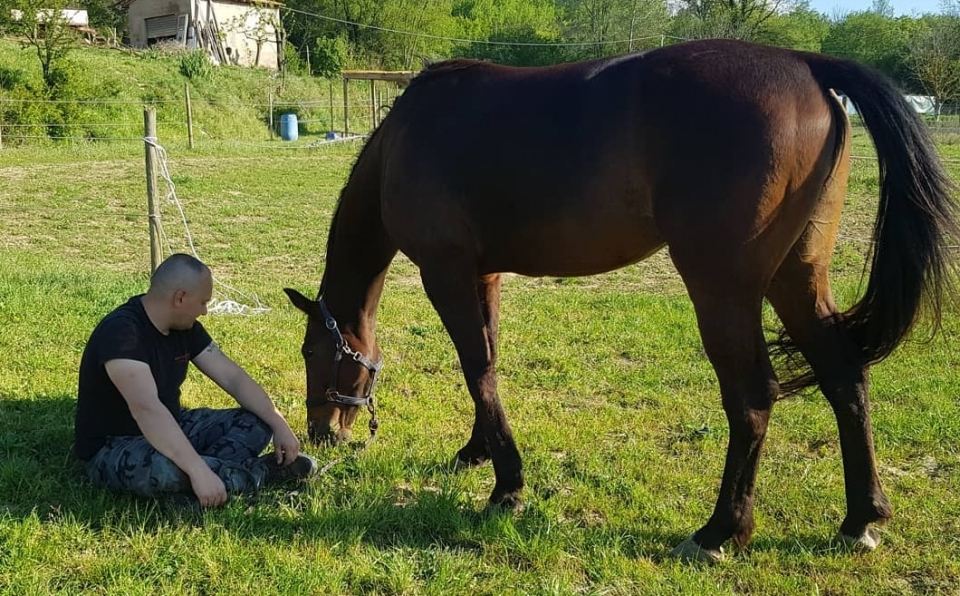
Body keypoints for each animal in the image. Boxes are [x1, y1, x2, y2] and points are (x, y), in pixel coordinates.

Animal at [284, 38, 959, 562]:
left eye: (313, 354)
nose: (321, 434)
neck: (406, 137)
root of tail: (805, 63)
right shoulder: (484, 275)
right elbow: (489, 362)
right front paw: (478, 454)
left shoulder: (444, 272)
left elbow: (475, 366)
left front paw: (507, 487)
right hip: (797, 278)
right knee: (845, 376)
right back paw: (861, 519)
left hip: (723, 290)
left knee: (753, 398)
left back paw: (719, 532)